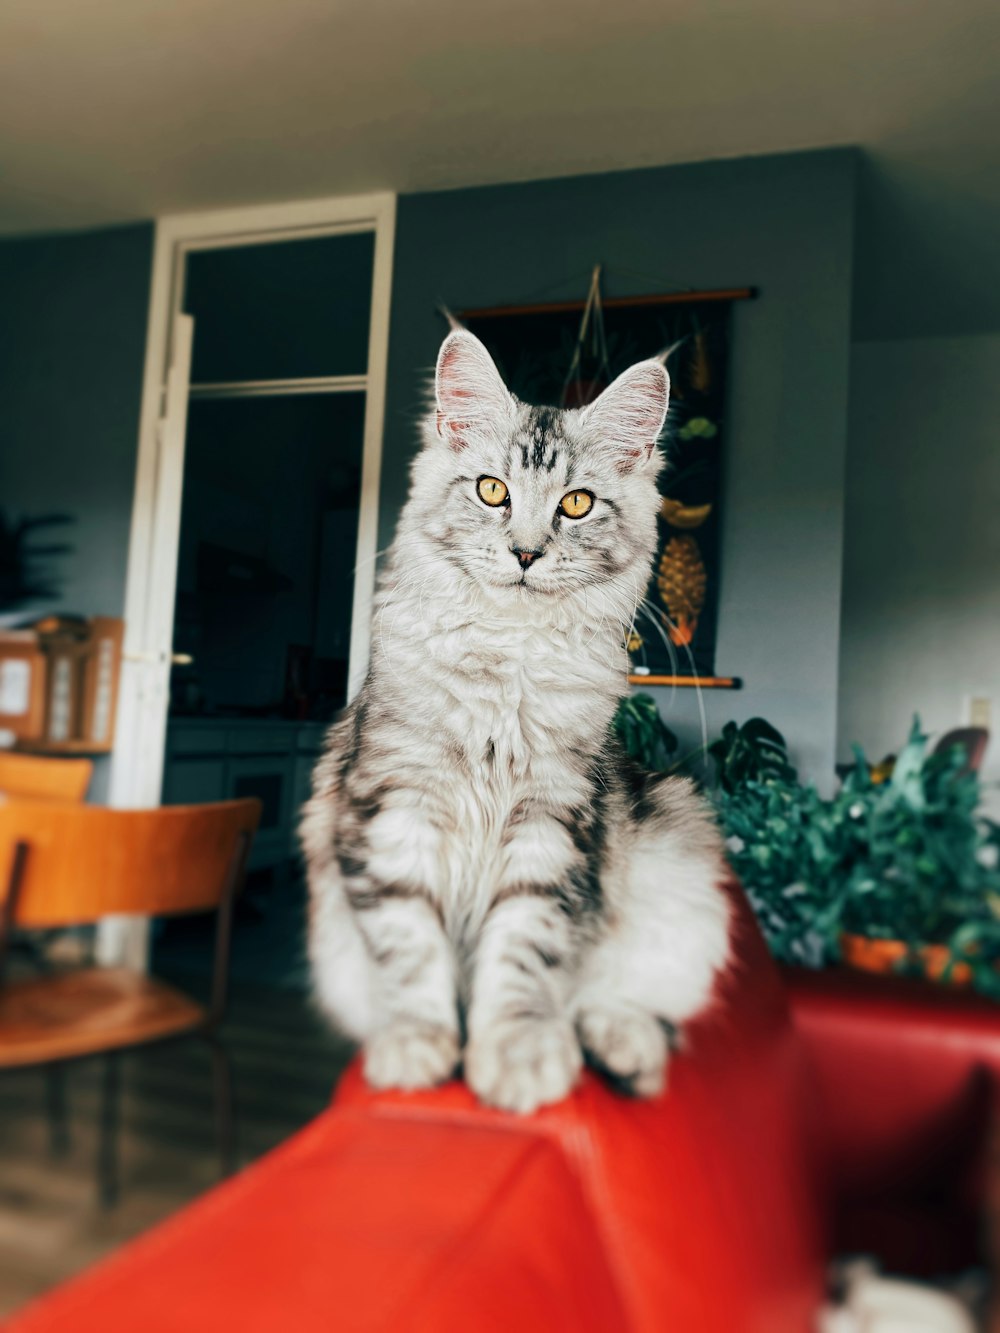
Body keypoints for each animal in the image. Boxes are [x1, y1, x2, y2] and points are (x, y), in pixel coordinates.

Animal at [301, 325, 730, 1114]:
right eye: (492, 491)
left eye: (577, 504)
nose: (526, 553)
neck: (509, 658)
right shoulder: (398, 804)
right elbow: (412, 948)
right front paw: (419, 1047)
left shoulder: (551, 820)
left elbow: (523, 952)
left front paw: (517, 1055)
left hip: (681, 862)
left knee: (619, 1000)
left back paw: (622, 1050)